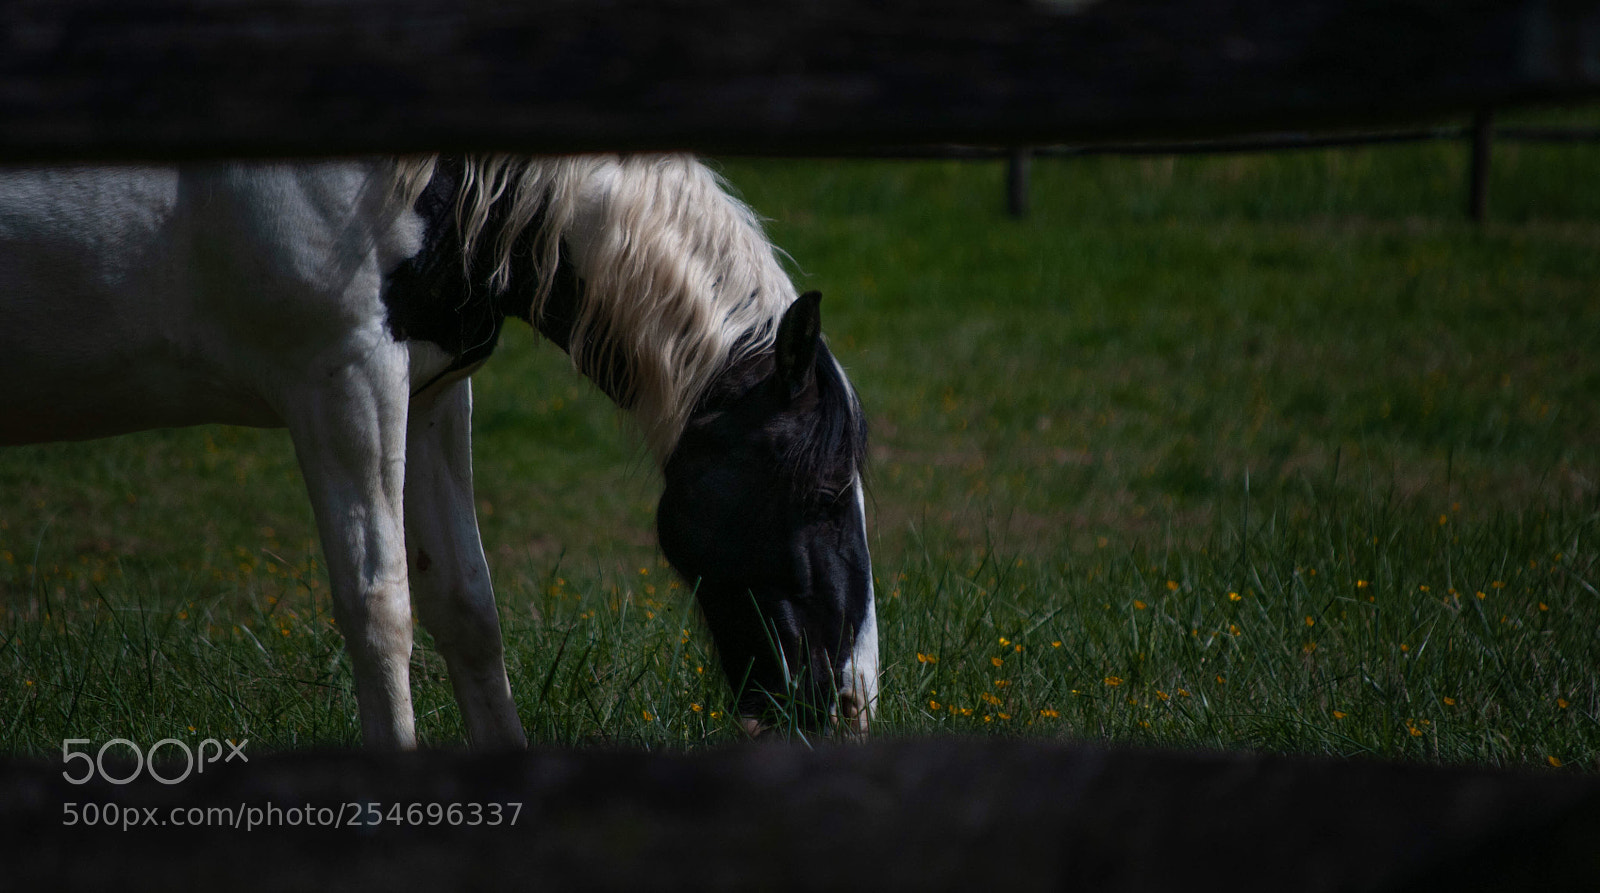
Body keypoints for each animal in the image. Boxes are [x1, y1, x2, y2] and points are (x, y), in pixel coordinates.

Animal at [0, 154, 878, 749]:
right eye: (825, 489)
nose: (852, 701)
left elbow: (467, 602)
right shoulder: (344, 378)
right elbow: (379, 608)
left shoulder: (429, 394)